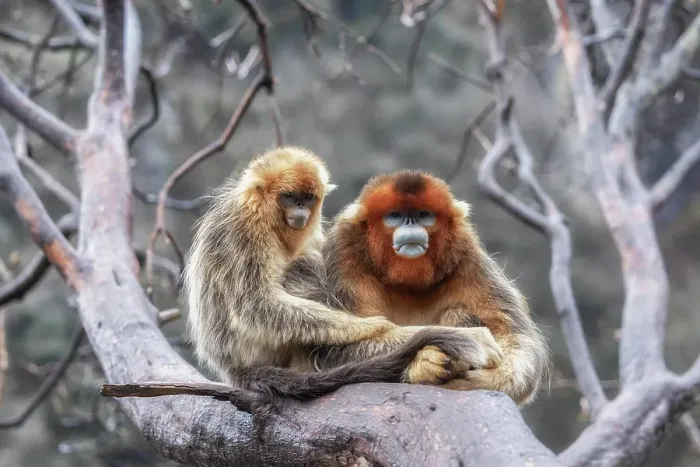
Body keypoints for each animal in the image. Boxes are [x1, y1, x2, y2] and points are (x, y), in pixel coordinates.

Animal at [183, 146, 504, 403]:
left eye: (306, 199)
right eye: (288, 198)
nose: (300, 212)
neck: (264, 214)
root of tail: (233, 369)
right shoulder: (245, 227)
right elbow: (255, 305)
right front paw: (378, 326)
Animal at [319, 169, 550, 406]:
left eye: (423, 215)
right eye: (395, 215)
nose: (410, 225)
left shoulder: (465, 253)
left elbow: (518, 337)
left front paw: (478, 381)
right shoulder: (343, 251)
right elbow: (335, 351)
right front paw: (431, 361)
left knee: (459, 312)